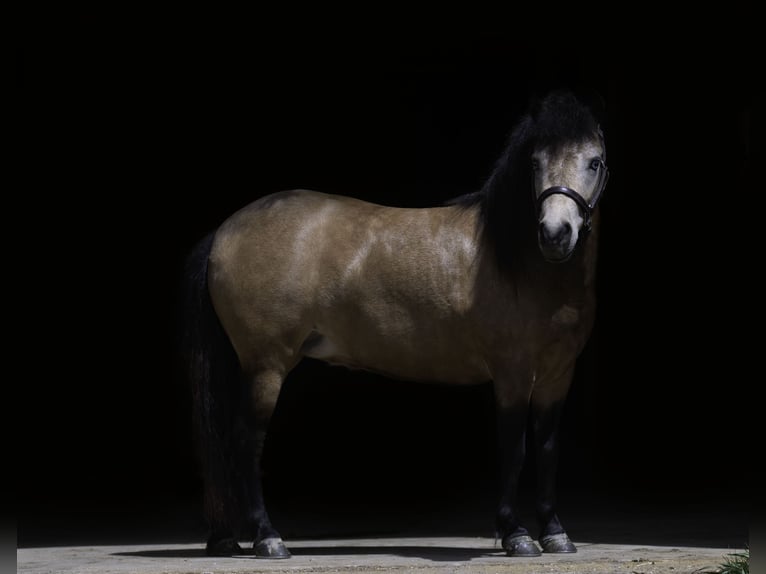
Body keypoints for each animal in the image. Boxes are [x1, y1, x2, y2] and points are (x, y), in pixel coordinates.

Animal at [181, 89, 609, 558]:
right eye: (534, 163)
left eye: (594, 161)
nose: (555, 234)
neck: (519, 263)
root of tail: (224, 232)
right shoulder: (513, 373)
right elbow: (514, 449)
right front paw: (516, 535)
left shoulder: (557, 374)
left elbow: (547, 448)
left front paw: (555, 533)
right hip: (266, 367)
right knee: (245, 443)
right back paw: (267, 538)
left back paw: (226, 539)